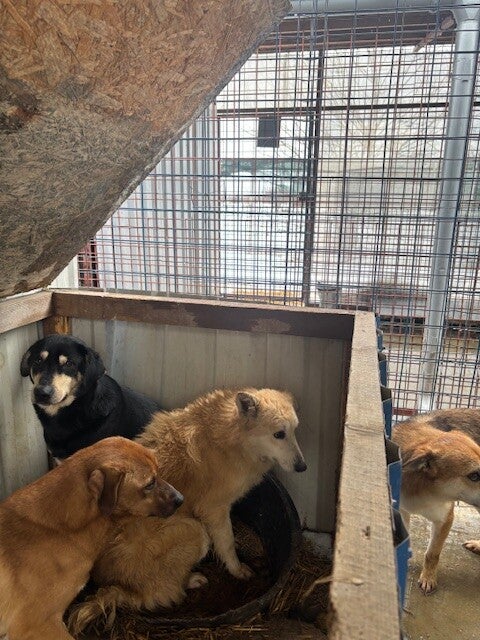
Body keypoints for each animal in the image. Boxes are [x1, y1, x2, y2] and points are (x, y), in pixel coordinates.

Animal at [67, 387, 306, 632]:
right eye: (279, 434)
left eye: (294, 431)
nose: (303, 467)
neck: (233, 437)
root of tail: (114, 585)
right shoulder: (215, 510)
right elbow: (228, 544)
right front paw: (238, 570)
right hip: (196, 531)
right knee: (160, 593)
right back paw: (190, 580)